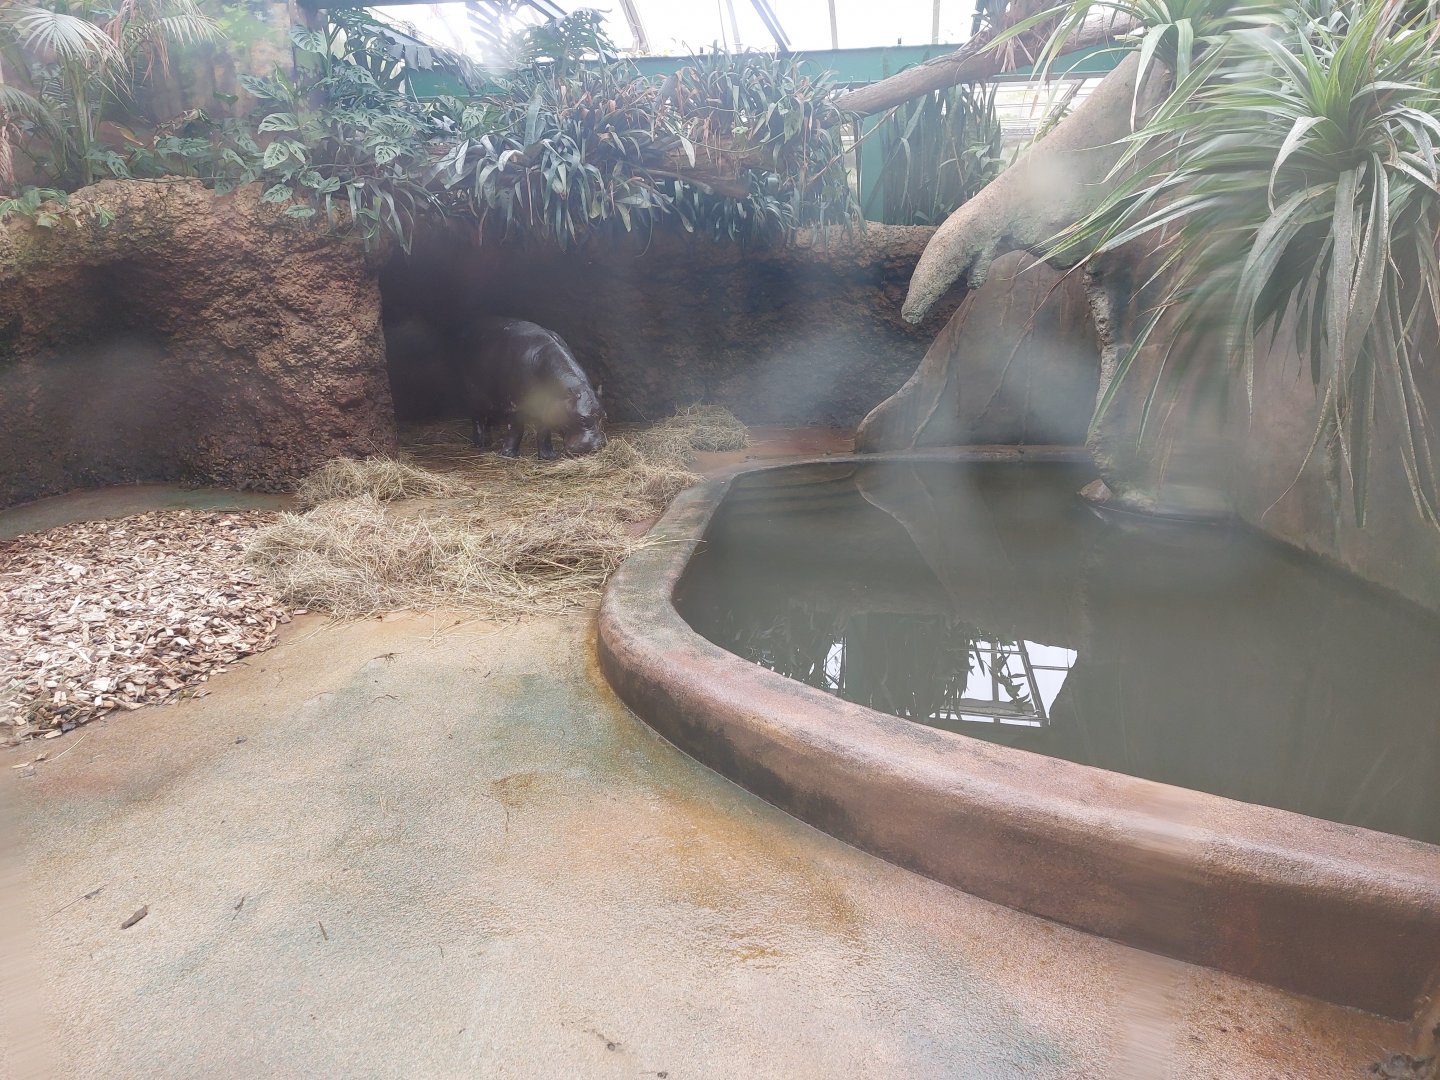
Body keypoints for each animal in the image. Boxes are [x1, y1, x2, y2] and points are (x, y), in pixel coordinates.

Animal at [451, 316, 607, 459]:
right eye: (581, 418)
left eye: (604, 416)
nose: (596, 446)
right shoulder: (514, 405)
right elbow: (517, 428)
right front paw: (509, 455)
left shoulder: (547, 406)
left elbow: (544, 430)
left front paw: (549, 456)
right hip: (473, 393)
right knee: (477, 417)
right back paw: (482, 443)